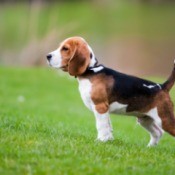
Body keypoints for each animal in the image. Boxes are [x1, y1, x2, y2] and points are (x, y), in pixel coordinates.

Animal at [46, 36, 175, 146]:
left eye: (65, 48)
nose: (47, 56)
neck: (90, 70)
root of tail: (162, 86)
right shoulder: (105, 109)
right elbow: (108, 126)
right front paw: (108, 139)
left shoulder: (100, 107)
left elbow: (101, 125)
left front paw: (101, 141)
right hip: (145, 119)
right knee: (158, 133)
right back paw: (149, 148)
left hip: (164, 119)